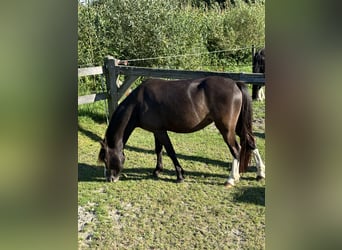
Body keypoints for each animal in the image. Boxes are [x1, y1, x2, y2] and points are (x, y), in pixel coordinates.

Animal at [97, 75, 266, 187]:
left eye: (106, 159)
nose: (110, 179)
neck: (139, 103)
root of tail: (235, 84)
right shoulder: (156, 131)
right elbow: (158, 150)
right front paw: (157, 171)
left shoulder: (161, 131)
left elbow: (170, 151)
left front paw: (179, 175)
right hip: (238, 127)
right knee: (251, 142)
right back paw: (260, 173)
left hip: (226, 129)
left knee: (236, 149)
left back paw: (231, 179)